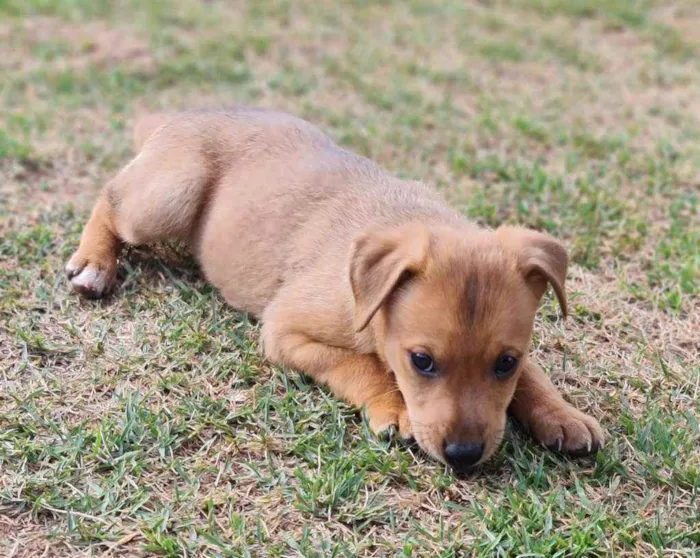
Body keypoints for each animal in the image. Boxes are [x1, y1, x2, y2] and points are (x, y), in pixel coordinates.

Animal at [67, 108, 600, 472]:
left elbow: (535, 376)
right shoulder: (285, 332)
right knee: (110, 199)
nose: (464, 455)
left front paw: (562, 415)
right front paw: (393, 407)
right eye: (422, 362)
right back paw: (94, 264)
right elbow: (359, 365)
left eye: (504, 363)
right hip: (170, 195)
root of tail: (179, 115)